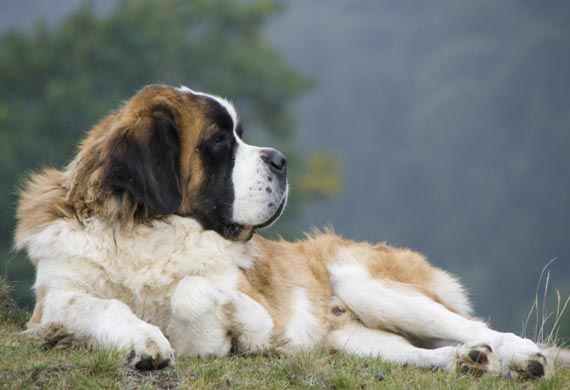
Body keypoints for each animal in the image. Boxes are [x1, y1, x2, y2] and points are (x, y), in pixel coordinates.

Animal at [15, 83, 564, 378]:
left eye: (237, 134)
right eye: (220, 141)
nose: (280, 160)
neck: (145, 232)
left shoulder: (248, 302)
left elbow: (195, 290)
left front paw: (227, 322)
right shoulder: (56, 298)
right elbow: (100, 306)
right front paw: (144, 341)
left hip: (369, 285)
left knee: (480, 327)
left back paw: (521, 356)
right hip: (354, 340)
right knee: (420, 353)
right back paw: (468, 362)